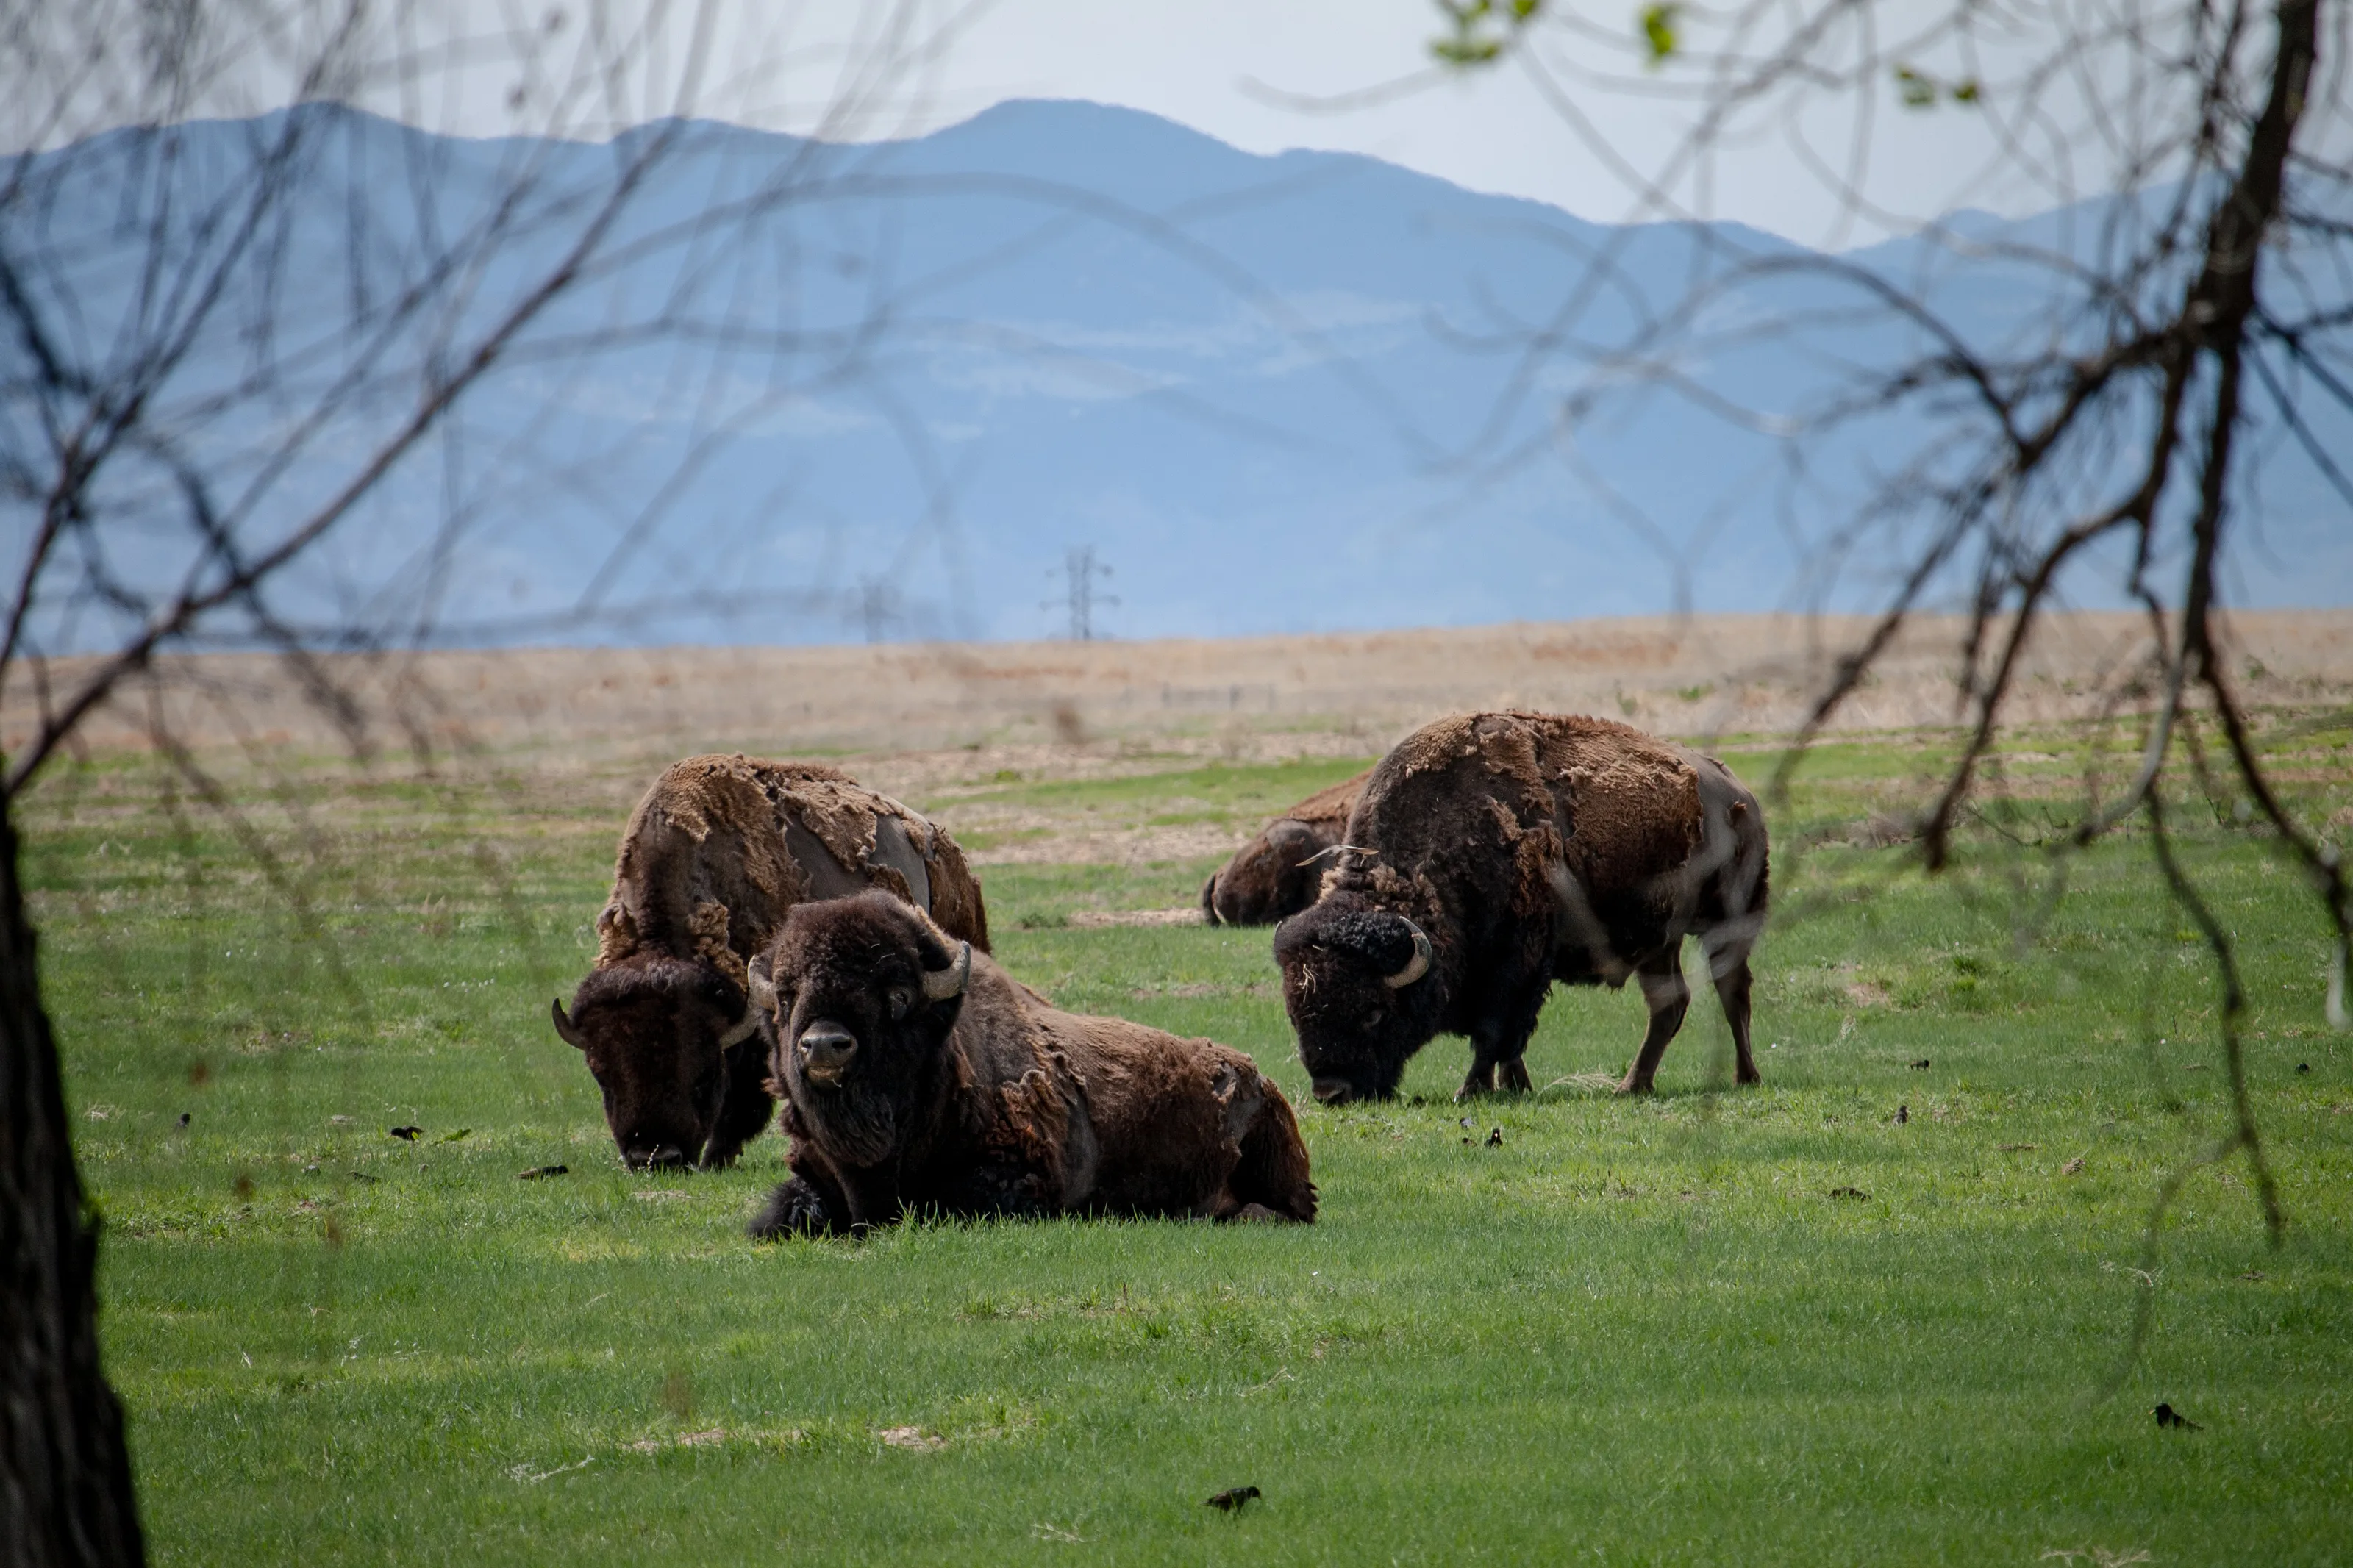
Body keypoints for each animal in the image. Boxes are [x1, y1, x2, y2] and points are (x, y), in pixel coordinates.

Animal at [1274, 711, 1767, 1103]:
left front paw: (1472, 1089)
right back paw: (1633, 1085)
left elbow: (1495, 1032)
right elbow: (1506, 1042)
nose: (1332, 1092)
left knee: (1732, 992)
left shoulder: (1516, 963)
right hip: (1660, 941)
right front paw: (1514, 1085)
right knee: (1670, 1003)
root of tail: (1739, 792)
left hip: (1727, 924)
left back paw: (1743, 1077)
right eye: (1295, 1014)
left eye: (1375, 1011)